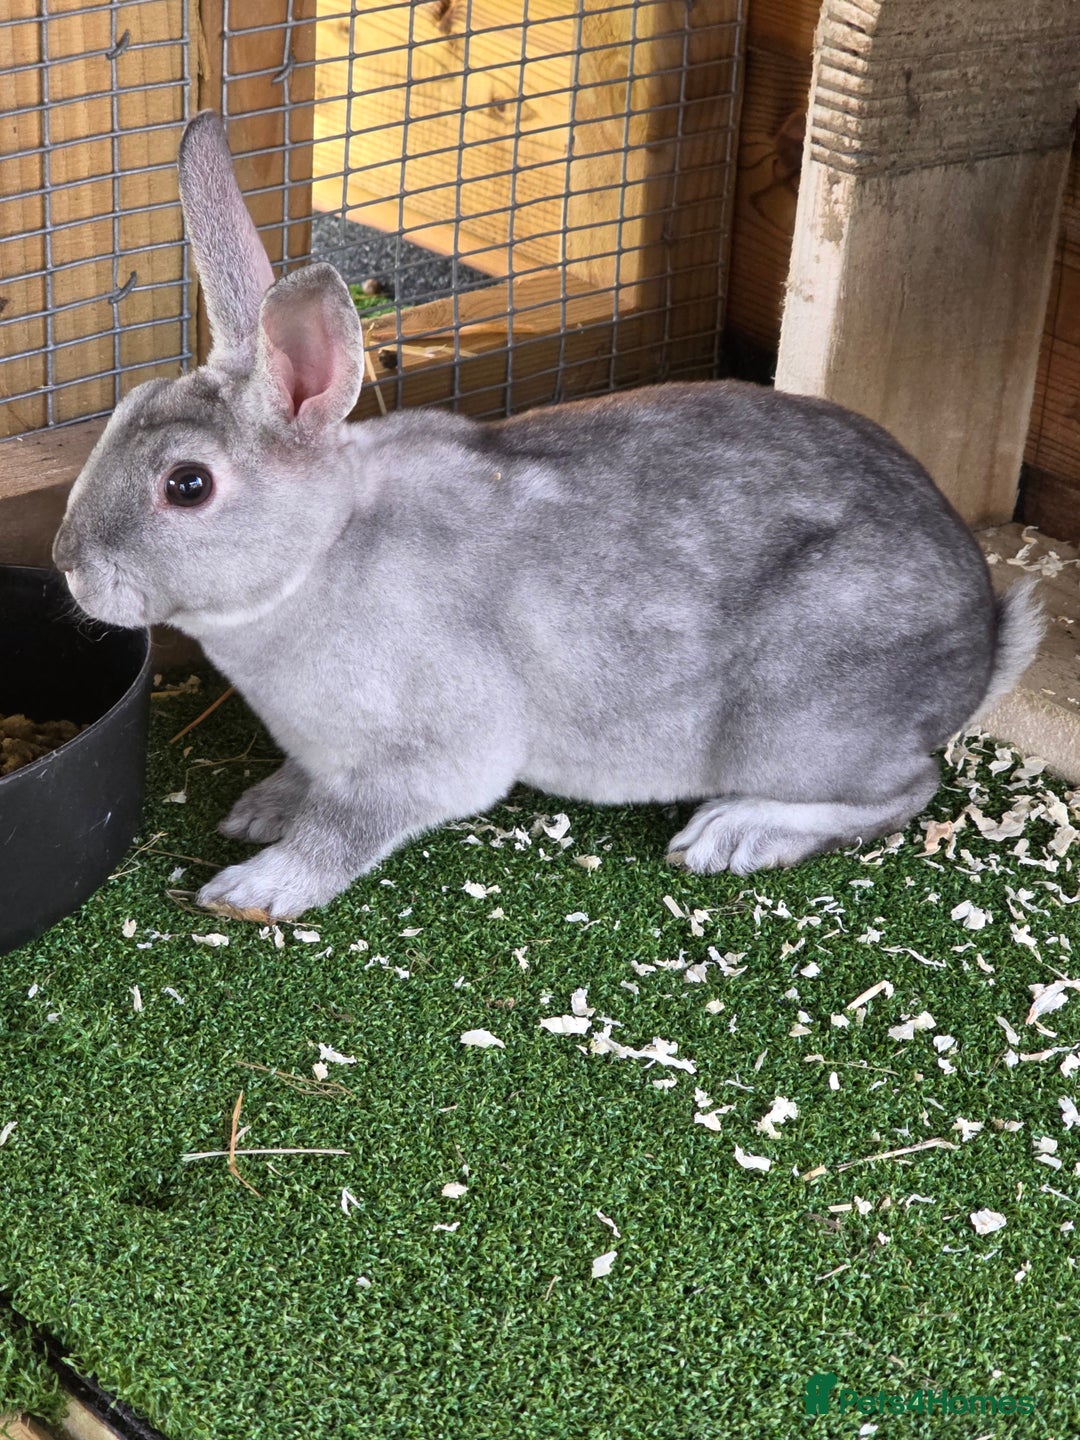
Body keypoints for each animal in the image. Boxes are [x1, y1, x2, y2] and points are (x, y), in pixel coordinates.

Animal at [52, 111, 1043, 923]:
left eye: (187, 486)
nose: (68, 561)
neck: (318, 556)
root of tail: (983, 643)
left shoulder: (429, 752)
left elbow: (347, 827)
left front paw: (255, 889)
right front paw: (260, 808)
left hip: (800, 723)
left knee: (907, 788)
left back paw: (736, 833)